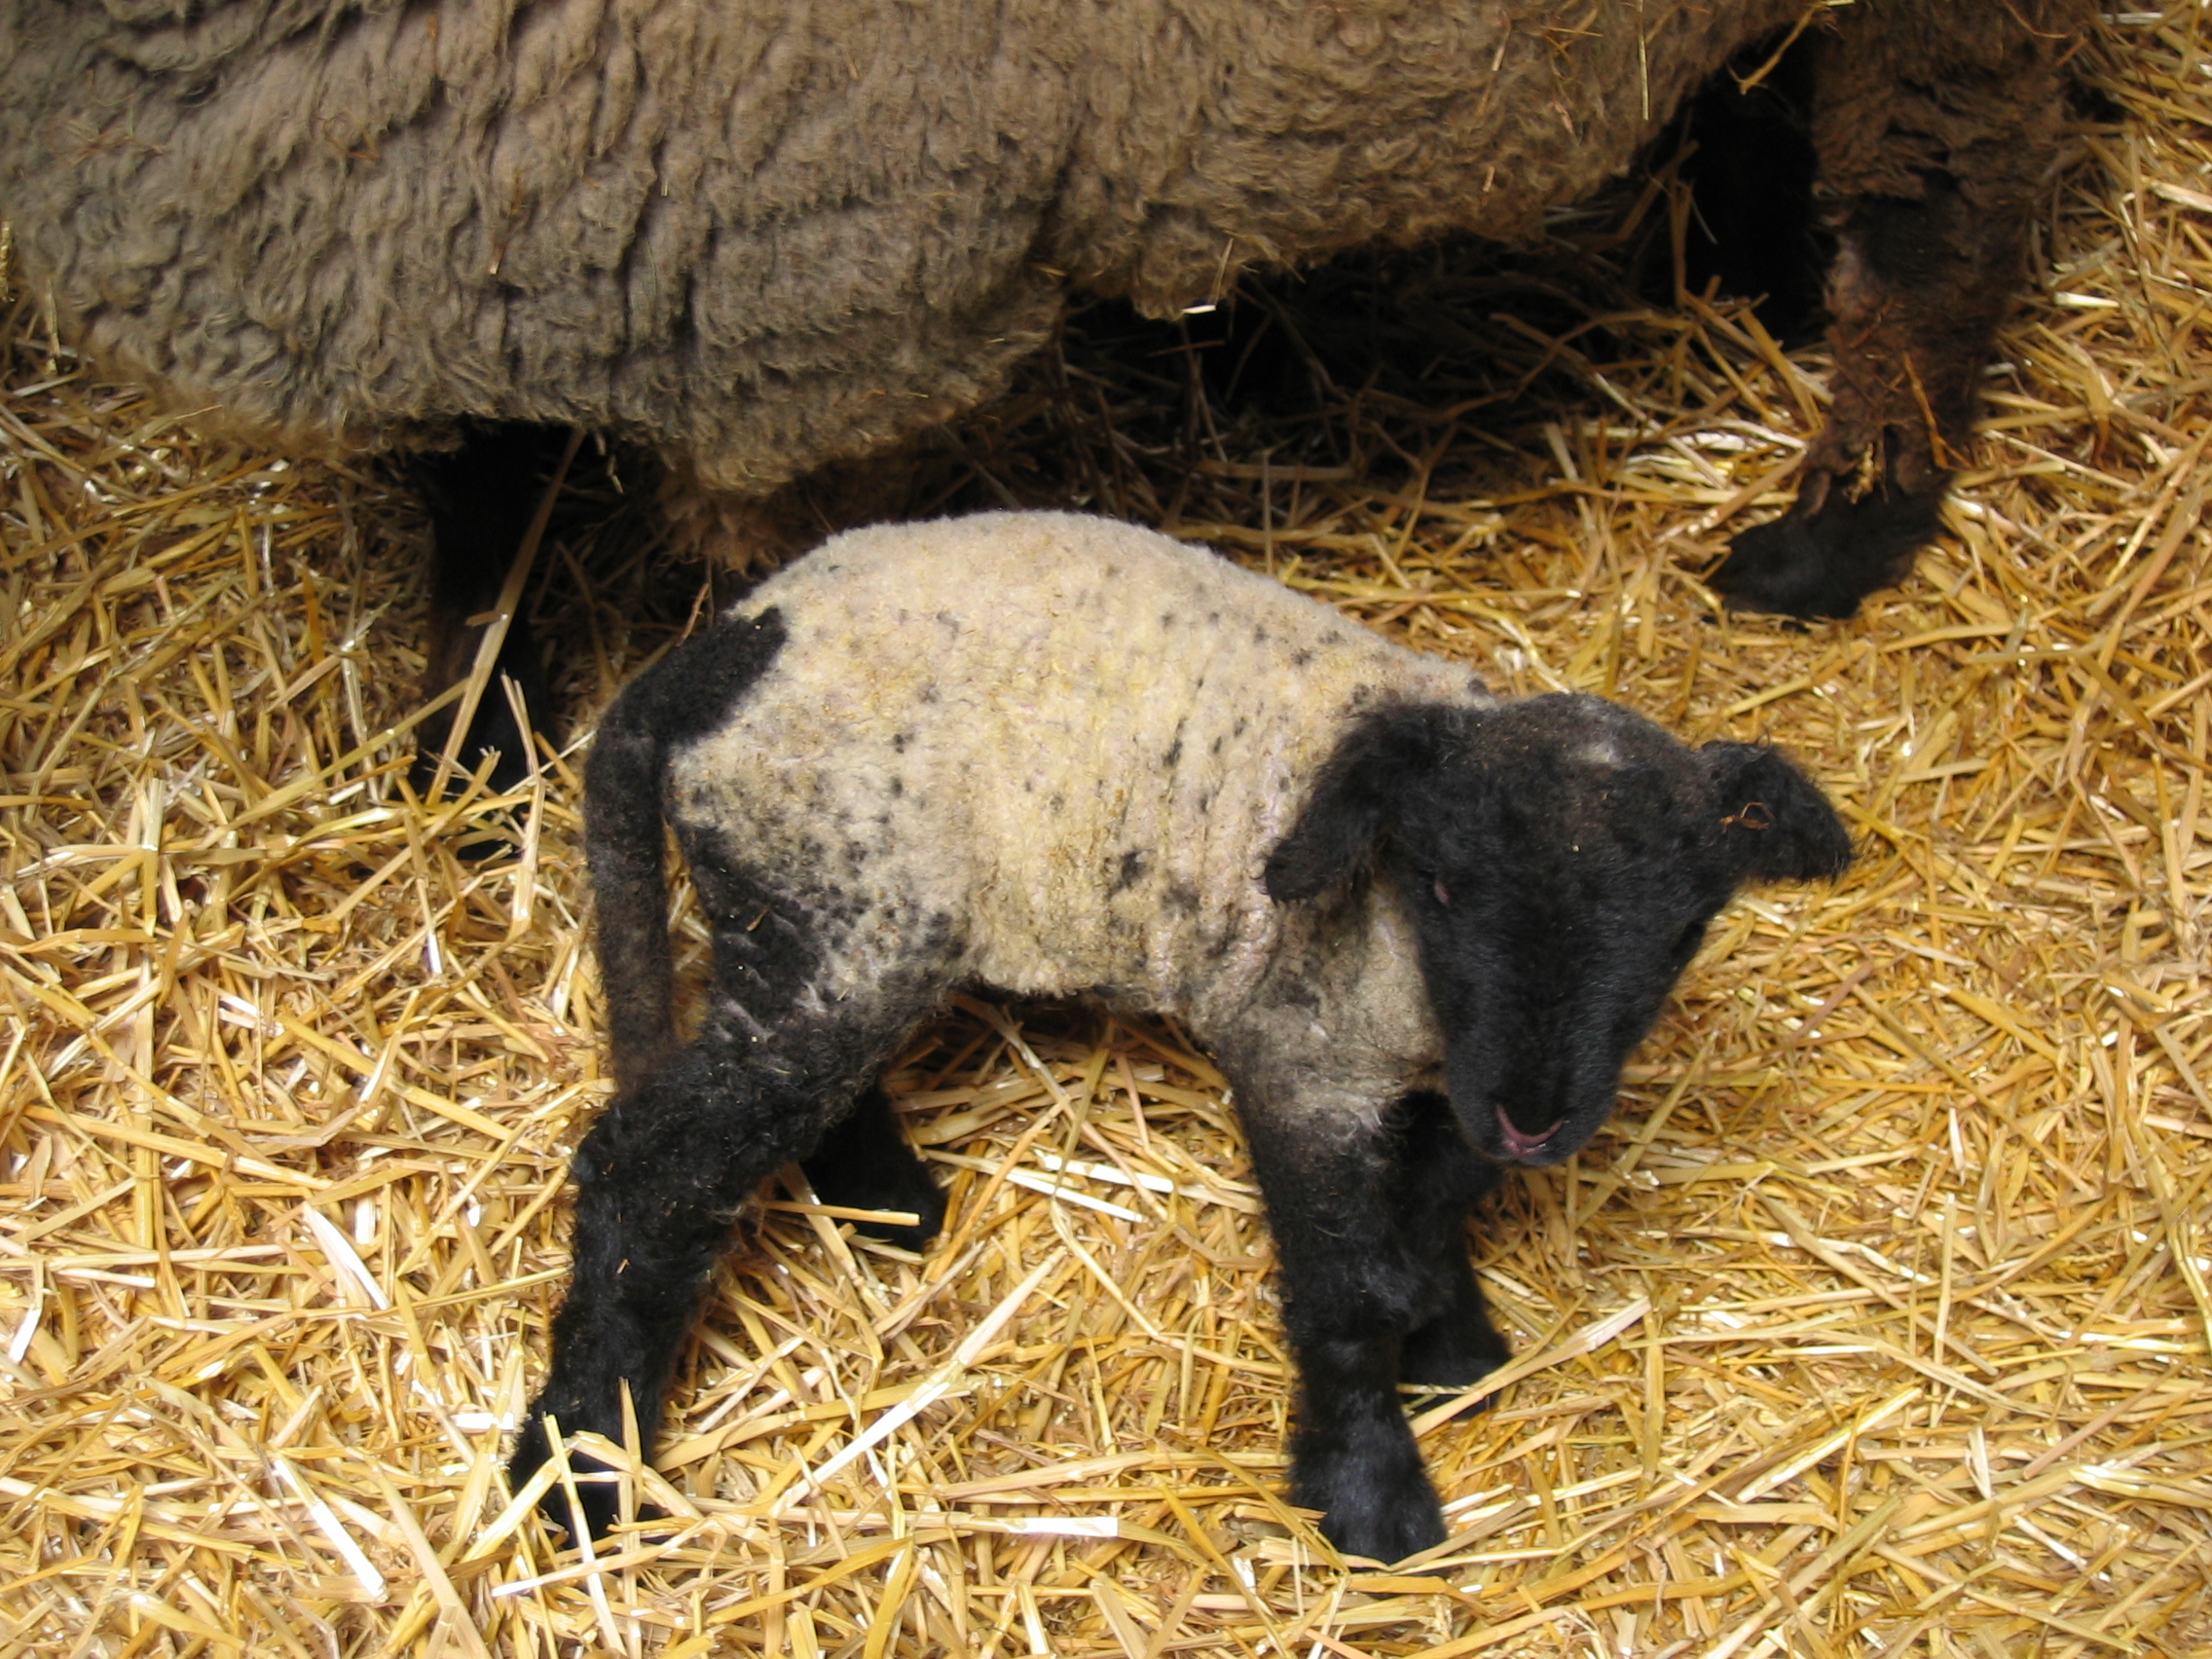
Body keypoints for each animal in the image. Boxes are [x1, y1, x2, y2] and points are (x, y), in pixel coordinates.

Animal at [4, 0, 2087, 787]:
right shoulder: (488, 215)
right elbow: (483, 513)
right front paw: (464, 751)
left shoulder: (810, 316)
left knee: (1947, 174)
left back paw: (1843, 515)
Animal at [513, 513, 1849, 1566]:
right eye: (1443, 886)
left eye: (1682, 930)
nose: (1537, 1116)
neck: (1421, 999)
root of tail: (728, 647)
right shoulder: (1301, 1058)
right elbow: (1347, 1290)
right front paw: (1368, 1496)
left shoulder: (1436, 1087)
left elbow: (1426, 1217)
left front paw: (1453, 1341)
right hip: (829, 897)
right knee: (651, 1170)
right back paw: (577, 1462)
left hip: (838, 928)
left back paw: (885, 1199)